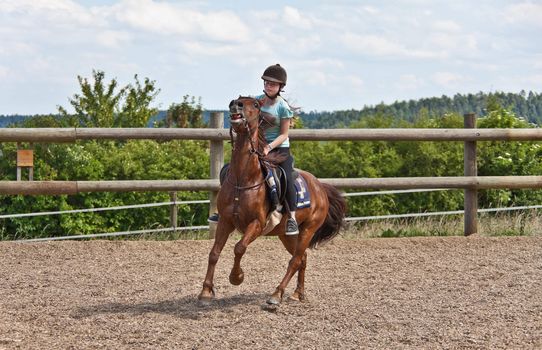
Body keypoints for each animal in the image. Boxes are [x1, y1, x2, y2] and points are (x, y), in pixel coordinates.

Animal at [200, 96, 348, 306]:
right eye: (238, 100)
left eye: (255, 105)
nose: (235, 105)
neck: (243, 180)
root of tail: (320, 187)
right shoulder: (226, 221)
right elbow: (214, 253)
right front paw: (205, 292)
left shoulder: (257, 224)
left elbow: (239, 248)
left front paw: (236, 277)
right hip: (287, 235)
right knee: (302, 258)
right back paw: (297, 293)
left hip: (308, 230)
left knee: (295, 260)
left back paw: (276, 295)